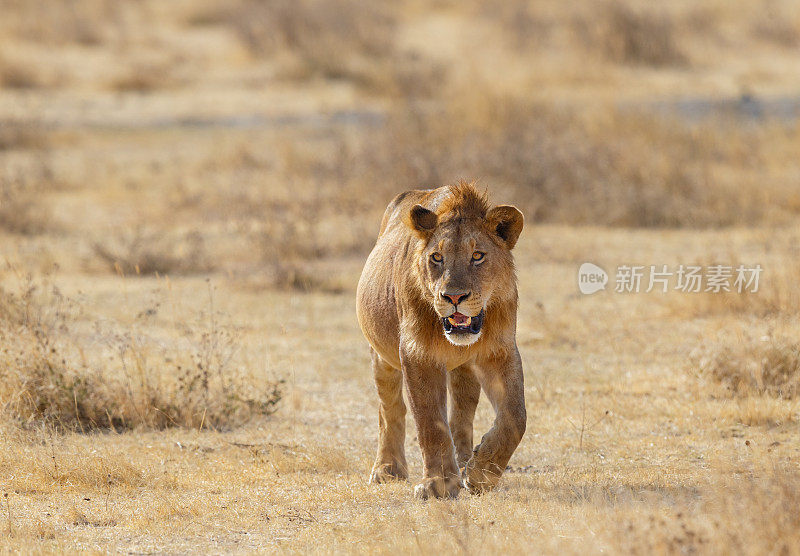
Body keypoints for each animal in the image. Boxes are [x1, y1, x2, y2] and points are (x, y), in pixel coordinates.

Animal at [356, 182, 524, 500]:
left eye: (477, 256)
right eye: (436, 257)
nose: (454, 297)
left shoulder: (499, 351)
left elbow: (515, 419)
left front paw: (481, 473)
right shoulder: (417, 354)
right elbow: (430, 422)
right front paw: (439, 484)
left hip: (464, 369)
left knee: (461, 415)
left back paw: (465, 460)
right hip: (381, 356)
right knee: (390, 410)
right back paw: (387, 469)